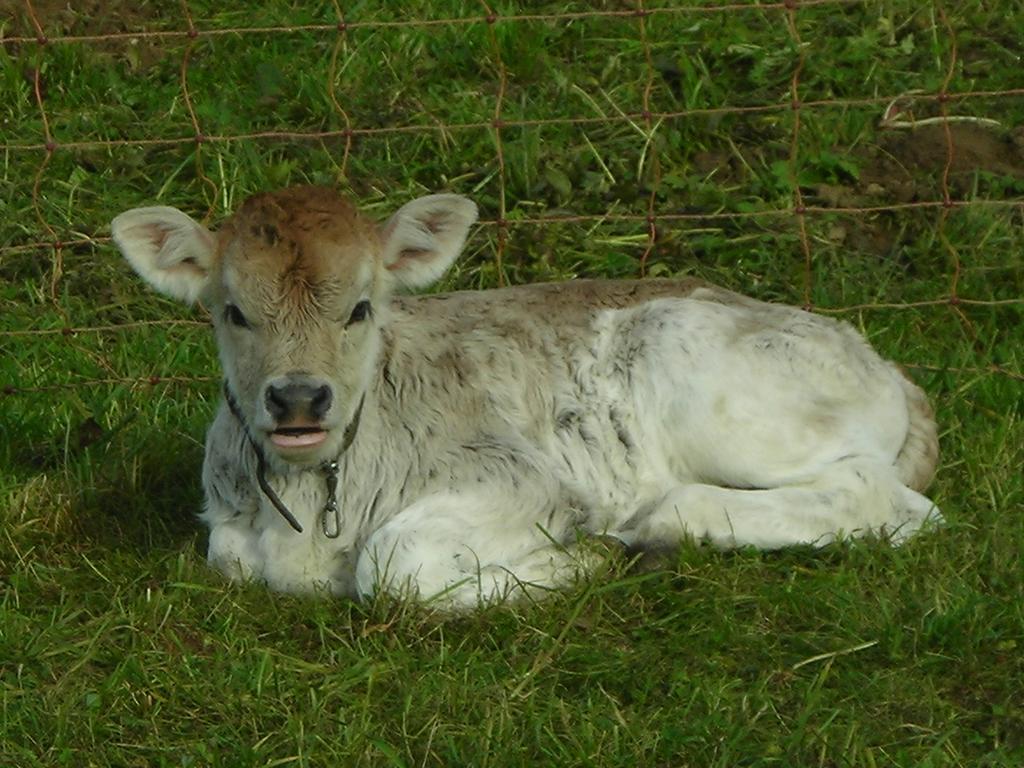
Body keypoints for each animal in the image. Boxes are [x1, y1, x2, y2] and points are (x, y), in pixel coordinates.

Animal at [110, 185, 937, 606]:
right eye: (234, 312)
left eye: (361, 308)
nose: (299, 400)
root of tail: (887, 364)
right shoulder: (228, 533)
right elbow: (232, 558)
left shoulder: (524, 480)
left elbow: (395, 563)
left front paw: (580, 558)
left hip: (710, 385)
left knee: (883, 499)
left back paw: (662, 522)